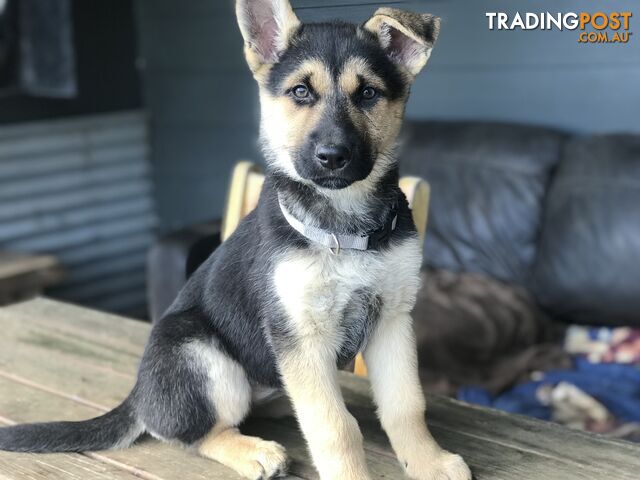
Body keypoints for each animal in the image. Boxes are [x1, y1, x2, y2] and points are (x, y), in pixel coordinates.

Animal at [0, 0, 470, 480]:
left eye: (369, 94)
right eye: (301, 92)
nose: (333, 157)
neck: (342, 227)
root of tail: (140, 394)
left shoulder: (393, 319)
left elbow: (406, 406)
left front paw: (429, 462)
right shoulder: (299, 335)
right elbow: (336, 428)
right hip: (199, 354)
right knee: (196, 432)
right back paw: (253, 452)